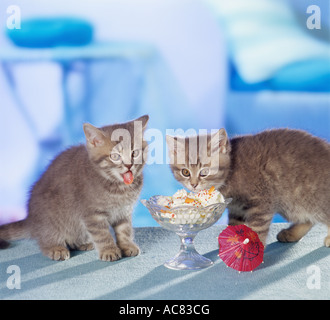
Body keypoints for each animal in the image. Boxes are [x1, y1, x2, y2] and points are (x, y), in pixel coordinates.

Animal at [0, 115, 149, 260]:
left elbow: (124, 230)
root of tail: (30, 219)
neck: (119, 187)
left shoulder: (124, 211)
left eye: (134, 153)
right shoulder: (92, 214)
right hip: (50, 222)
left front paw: (127, 246)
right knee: (46, 241)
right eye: (115, 156)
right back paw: (56, 248)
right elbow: (102, 234)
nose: (129, 165)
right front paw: (109, 250)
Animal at [168, 129, 330, 246]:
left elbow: (257, 229)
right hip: (292, 204)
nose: (193, 184)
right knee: (307, 219)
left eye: (204, 172)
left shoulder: (262, 201)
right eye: (185, 172)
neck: (231, 171)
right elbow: (235, 226)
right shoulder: (236, 209)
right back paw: (291, 233)